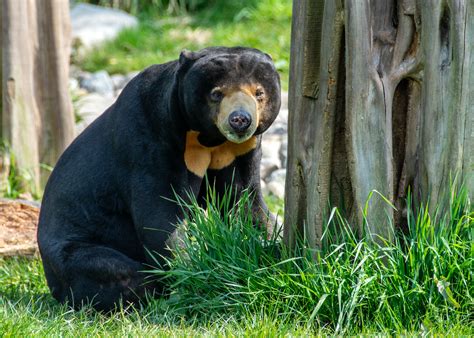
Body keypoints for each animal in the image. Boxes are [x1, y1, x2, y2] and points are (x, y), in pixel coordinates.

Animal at [38, 46, 282, 310]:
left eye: (259, 92)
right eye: (216, 94)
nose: (240, 120)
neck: (207, 139)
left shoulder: (237, 153)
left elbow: (244, 201)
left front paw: (270, 245)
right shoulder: (150, 142)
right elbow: (161, 217)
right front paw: (193, 270)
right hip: (74, 249)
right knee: (115, 271)